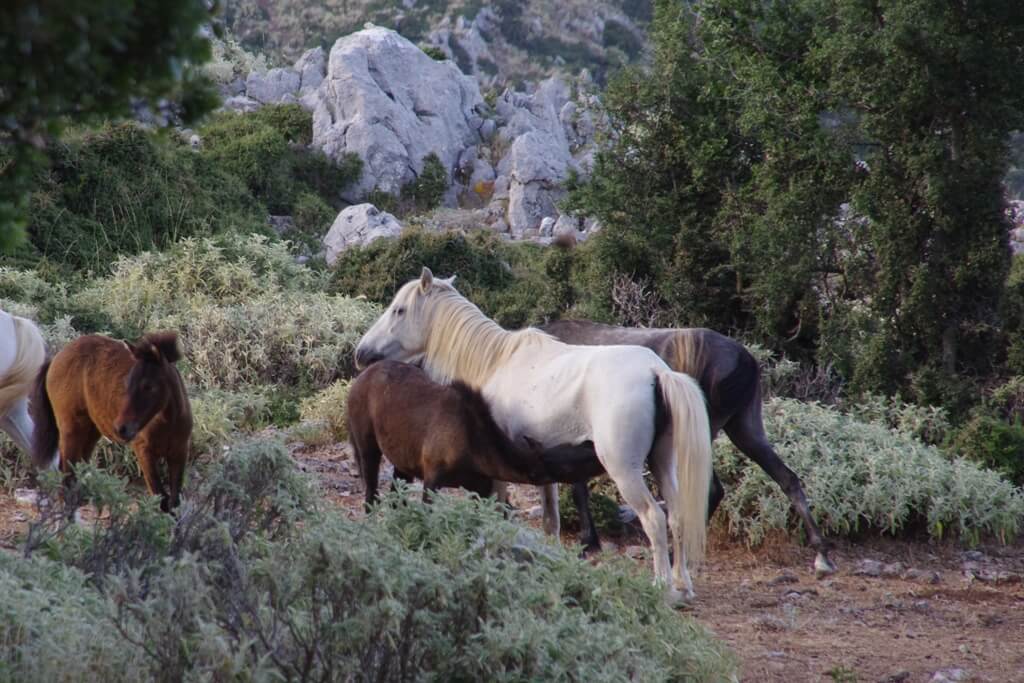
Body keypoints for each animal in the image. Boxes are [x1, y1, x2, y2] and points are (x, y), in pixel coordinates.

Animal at [30, 331, 193, 511]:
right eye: (128, 382)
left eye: (148, 386)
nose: (121, 428)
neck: (168, 423)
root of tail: (56, 358)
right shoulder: (144, 452)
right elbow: (162, 499)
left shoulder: (179, 453)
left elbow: (174, 502)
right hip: (70, 430)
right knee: (67, 476)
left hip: (90, 432)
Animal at [346, 360, 598, 509]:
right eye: (568, 464)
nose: (593, 446)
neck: (475, 449)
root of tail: (357, 380)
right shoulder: (432, 478)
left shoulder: (481, 489)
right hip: (367, 446)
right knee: (370, 494)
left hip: (403, 463)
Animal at [540, 321, 835, 577]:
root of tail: (748, 363)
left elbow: (577, 490)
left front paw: (588, 543)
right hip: (745, 426)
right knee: (788, 478)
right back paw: (822, 554)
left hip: (702, 430)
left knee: (713, 488)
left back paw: (677, 555)